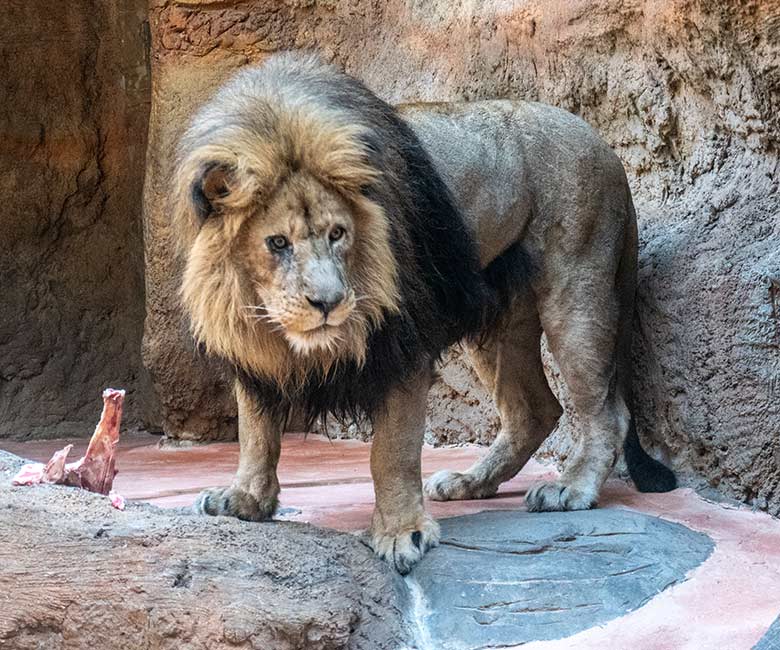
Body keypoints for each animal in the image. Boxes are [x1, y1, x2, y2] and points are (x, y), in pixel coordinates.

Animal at [172, 53, 676, 576]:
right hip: (499, 328)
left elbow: (390, 451)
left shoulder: (403, 344)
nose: (329, 302)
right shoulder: (250, 347)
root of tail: (606, 148)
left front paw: (400, 533)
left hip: (577, 290)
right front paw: (245, 499)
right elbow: (255, 430)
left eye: (338, 233)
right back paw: (471, 482)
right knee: (535, 410)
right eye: (277, 243)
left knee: (605, 410)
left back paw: (570, 488)